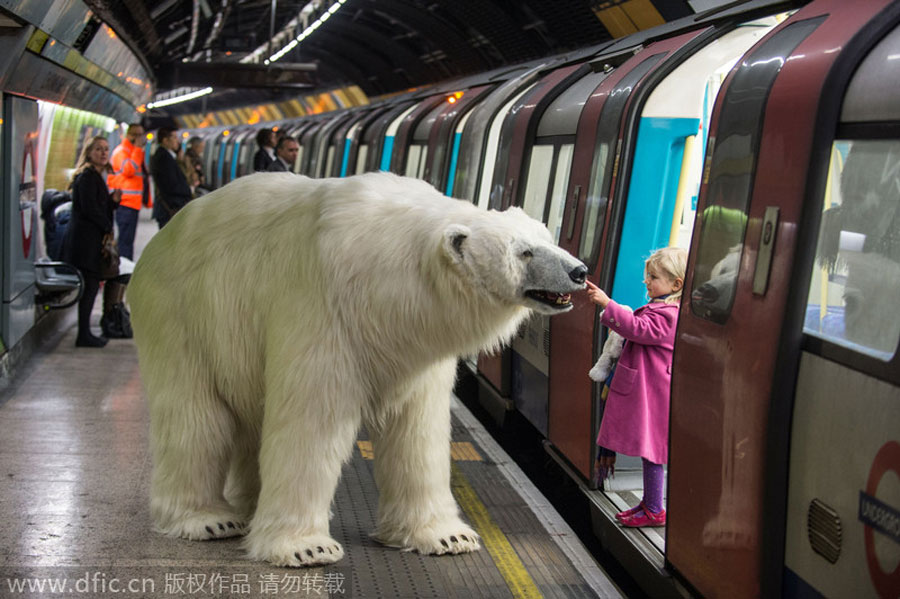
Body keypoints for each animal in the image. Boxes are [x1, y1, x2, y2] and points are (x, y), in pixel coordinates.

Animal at [130, 172, 588, 568]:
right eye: (523, 251)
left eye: (547, 237)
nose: (579, 271)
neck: (387, 278)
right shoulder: (323, 307)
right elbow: (311, 422)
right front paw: (306, 548)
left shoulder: (415, 346)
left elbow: (417, 430)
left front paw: (448, 536)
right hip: (182, 315)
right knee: (197, 419)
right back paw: (209, 519)